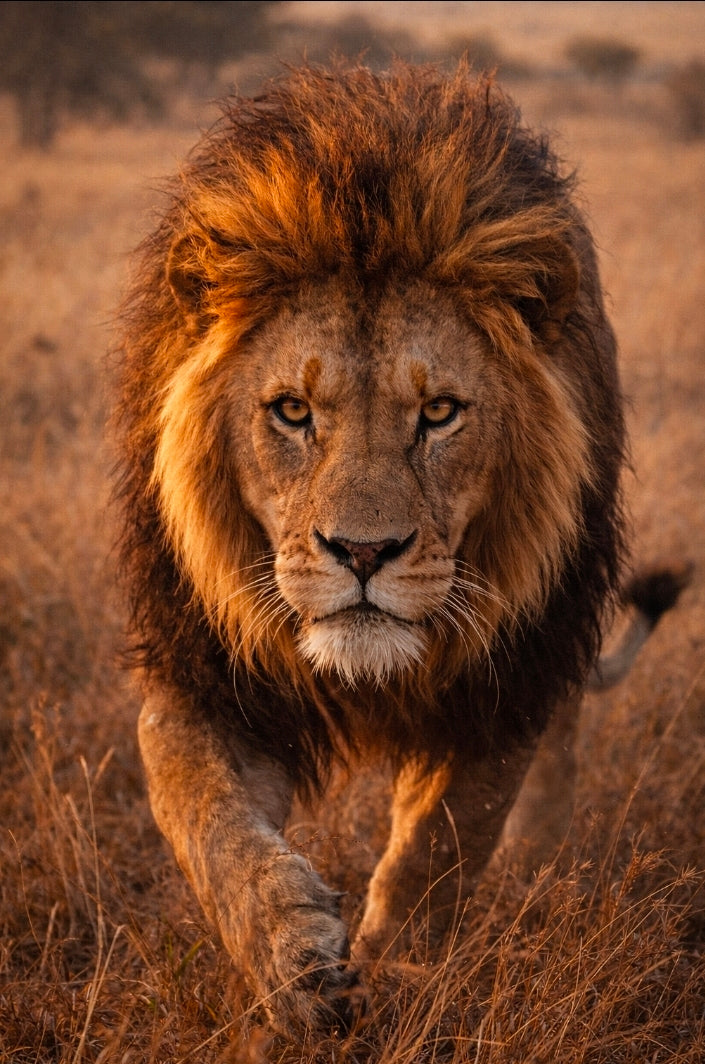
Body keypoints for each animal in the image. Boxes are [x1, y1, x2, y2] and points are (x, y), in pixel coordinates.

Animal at [114, 62, 688, 1034]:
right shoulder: (204, 671)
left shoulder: (505, 681)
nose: (362, 551)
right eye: (292, 412)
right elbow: (205, 816)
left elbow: (440, 846)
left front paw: (398, 981)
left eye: (439, 413)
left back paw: (539, 870)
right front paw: (296, 963)